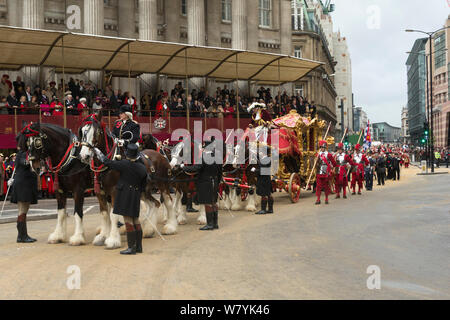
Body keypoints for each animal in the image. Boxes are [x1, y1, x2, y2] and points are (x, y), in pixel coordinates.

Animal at [77, 114, 178, 249]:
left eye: (97, 132)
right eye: (82, 131)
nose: (84, 155)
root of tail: (162, 156)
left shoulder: (115, 191)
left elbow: (113, 214)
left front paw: (113, 239)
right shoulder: (100, 193)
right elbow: (104, 214)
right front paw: (103, 236)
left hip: (163, 185)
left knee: (168, 202)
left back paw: (170, 227)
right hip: (144, 190)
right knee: (154, 203)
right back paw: (148, 229)